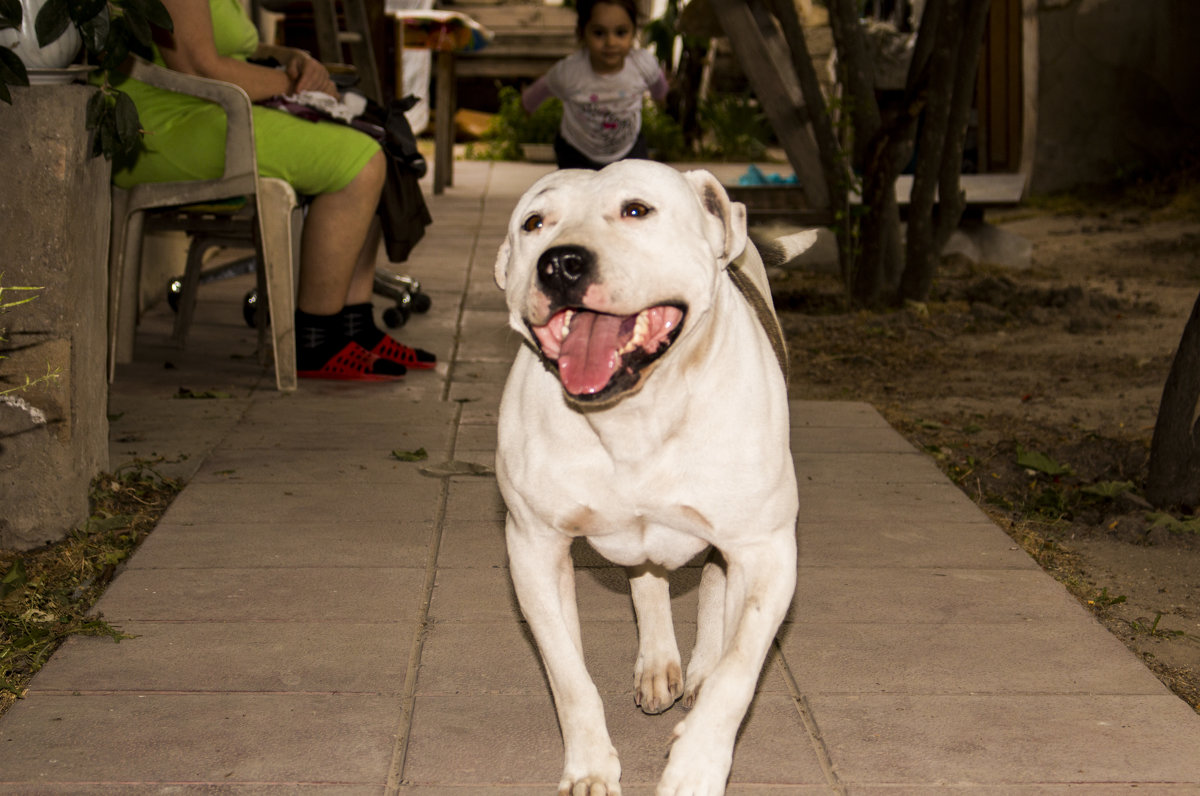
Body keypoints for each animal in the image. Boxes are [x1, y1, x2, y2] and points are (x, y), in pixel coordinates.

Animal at [496, 162, 806, 796]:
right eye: (535, 223)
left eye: (637, 210)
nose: (560, 263)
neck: (633, 416)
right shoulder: (533, 547)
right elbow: (568, 674)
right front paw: (590, 765)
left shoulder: (767, 550)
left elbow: (740, 669)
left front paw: (696, 767)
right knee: (647, 575)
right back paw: (660, 661)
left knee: (714, 586)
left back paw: (701, 666)